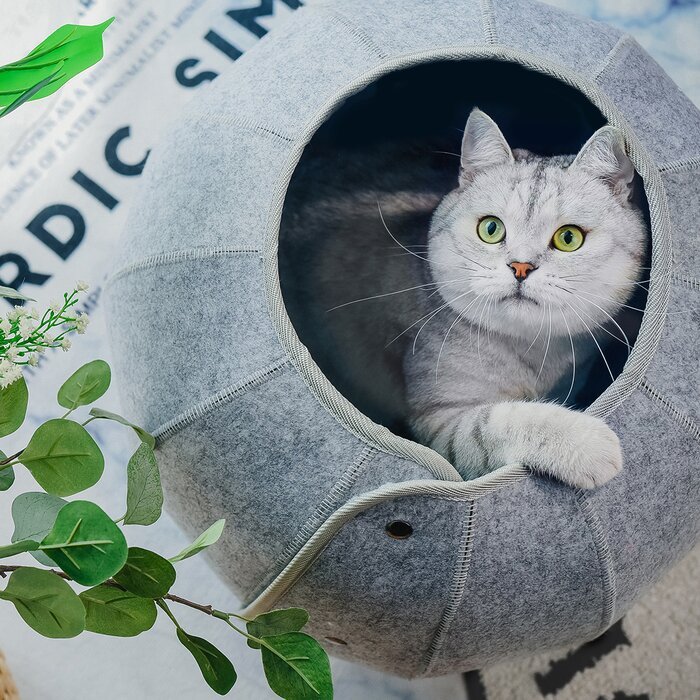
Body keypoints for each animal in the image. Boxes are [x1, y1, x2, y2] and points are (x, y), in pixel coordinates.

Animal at [402, 108, 648, 486]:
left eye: (568, 238)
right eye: (490, 229)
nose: (520, 267)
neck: (534, 350)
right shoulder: (436, 421)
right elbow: (493, 422)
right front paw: (586, 443)